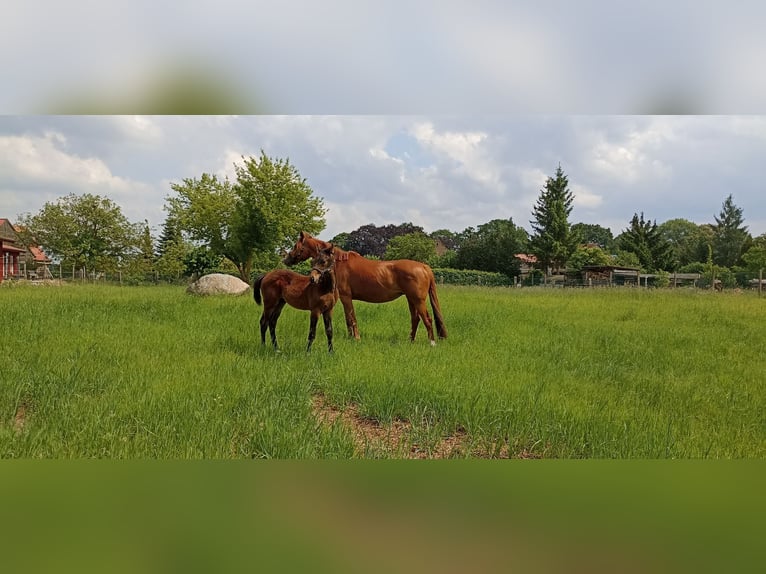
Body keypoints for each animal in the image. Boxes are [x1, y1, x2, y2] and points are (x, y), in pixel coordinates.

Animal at [284, 231, 448, 346]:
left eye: (296, 246)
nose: (286, 259)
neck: (338, 263)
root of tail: (424, 266)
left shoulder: (346, 297)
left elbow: (351, 318)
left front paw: (356, 338)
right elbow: (348, 319)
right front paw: (351, 338)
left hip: (418, 300)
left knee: (427, 319)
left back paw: (431, 343)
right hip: (410, 299)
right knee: (415, 319)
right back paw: (410, 341)